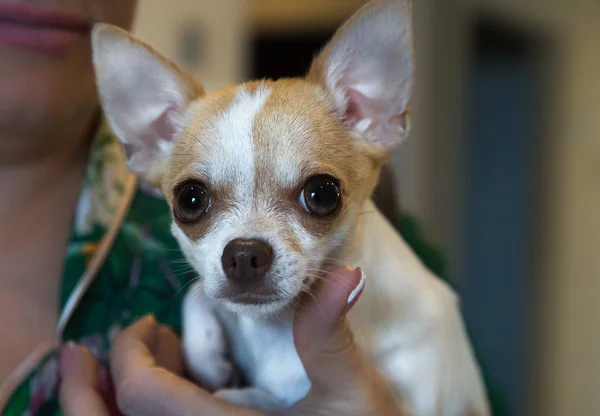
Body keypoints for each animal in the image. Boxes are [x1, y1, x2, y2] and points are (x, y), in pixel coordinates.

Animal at [91, 0, 490, 416]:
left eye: (322, 194)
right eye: (190, 200)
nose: (243, 254)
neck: (275, 330)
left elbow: (278, 402)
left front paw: (244, 395)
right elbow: (198, 294)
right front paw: (208, 357)